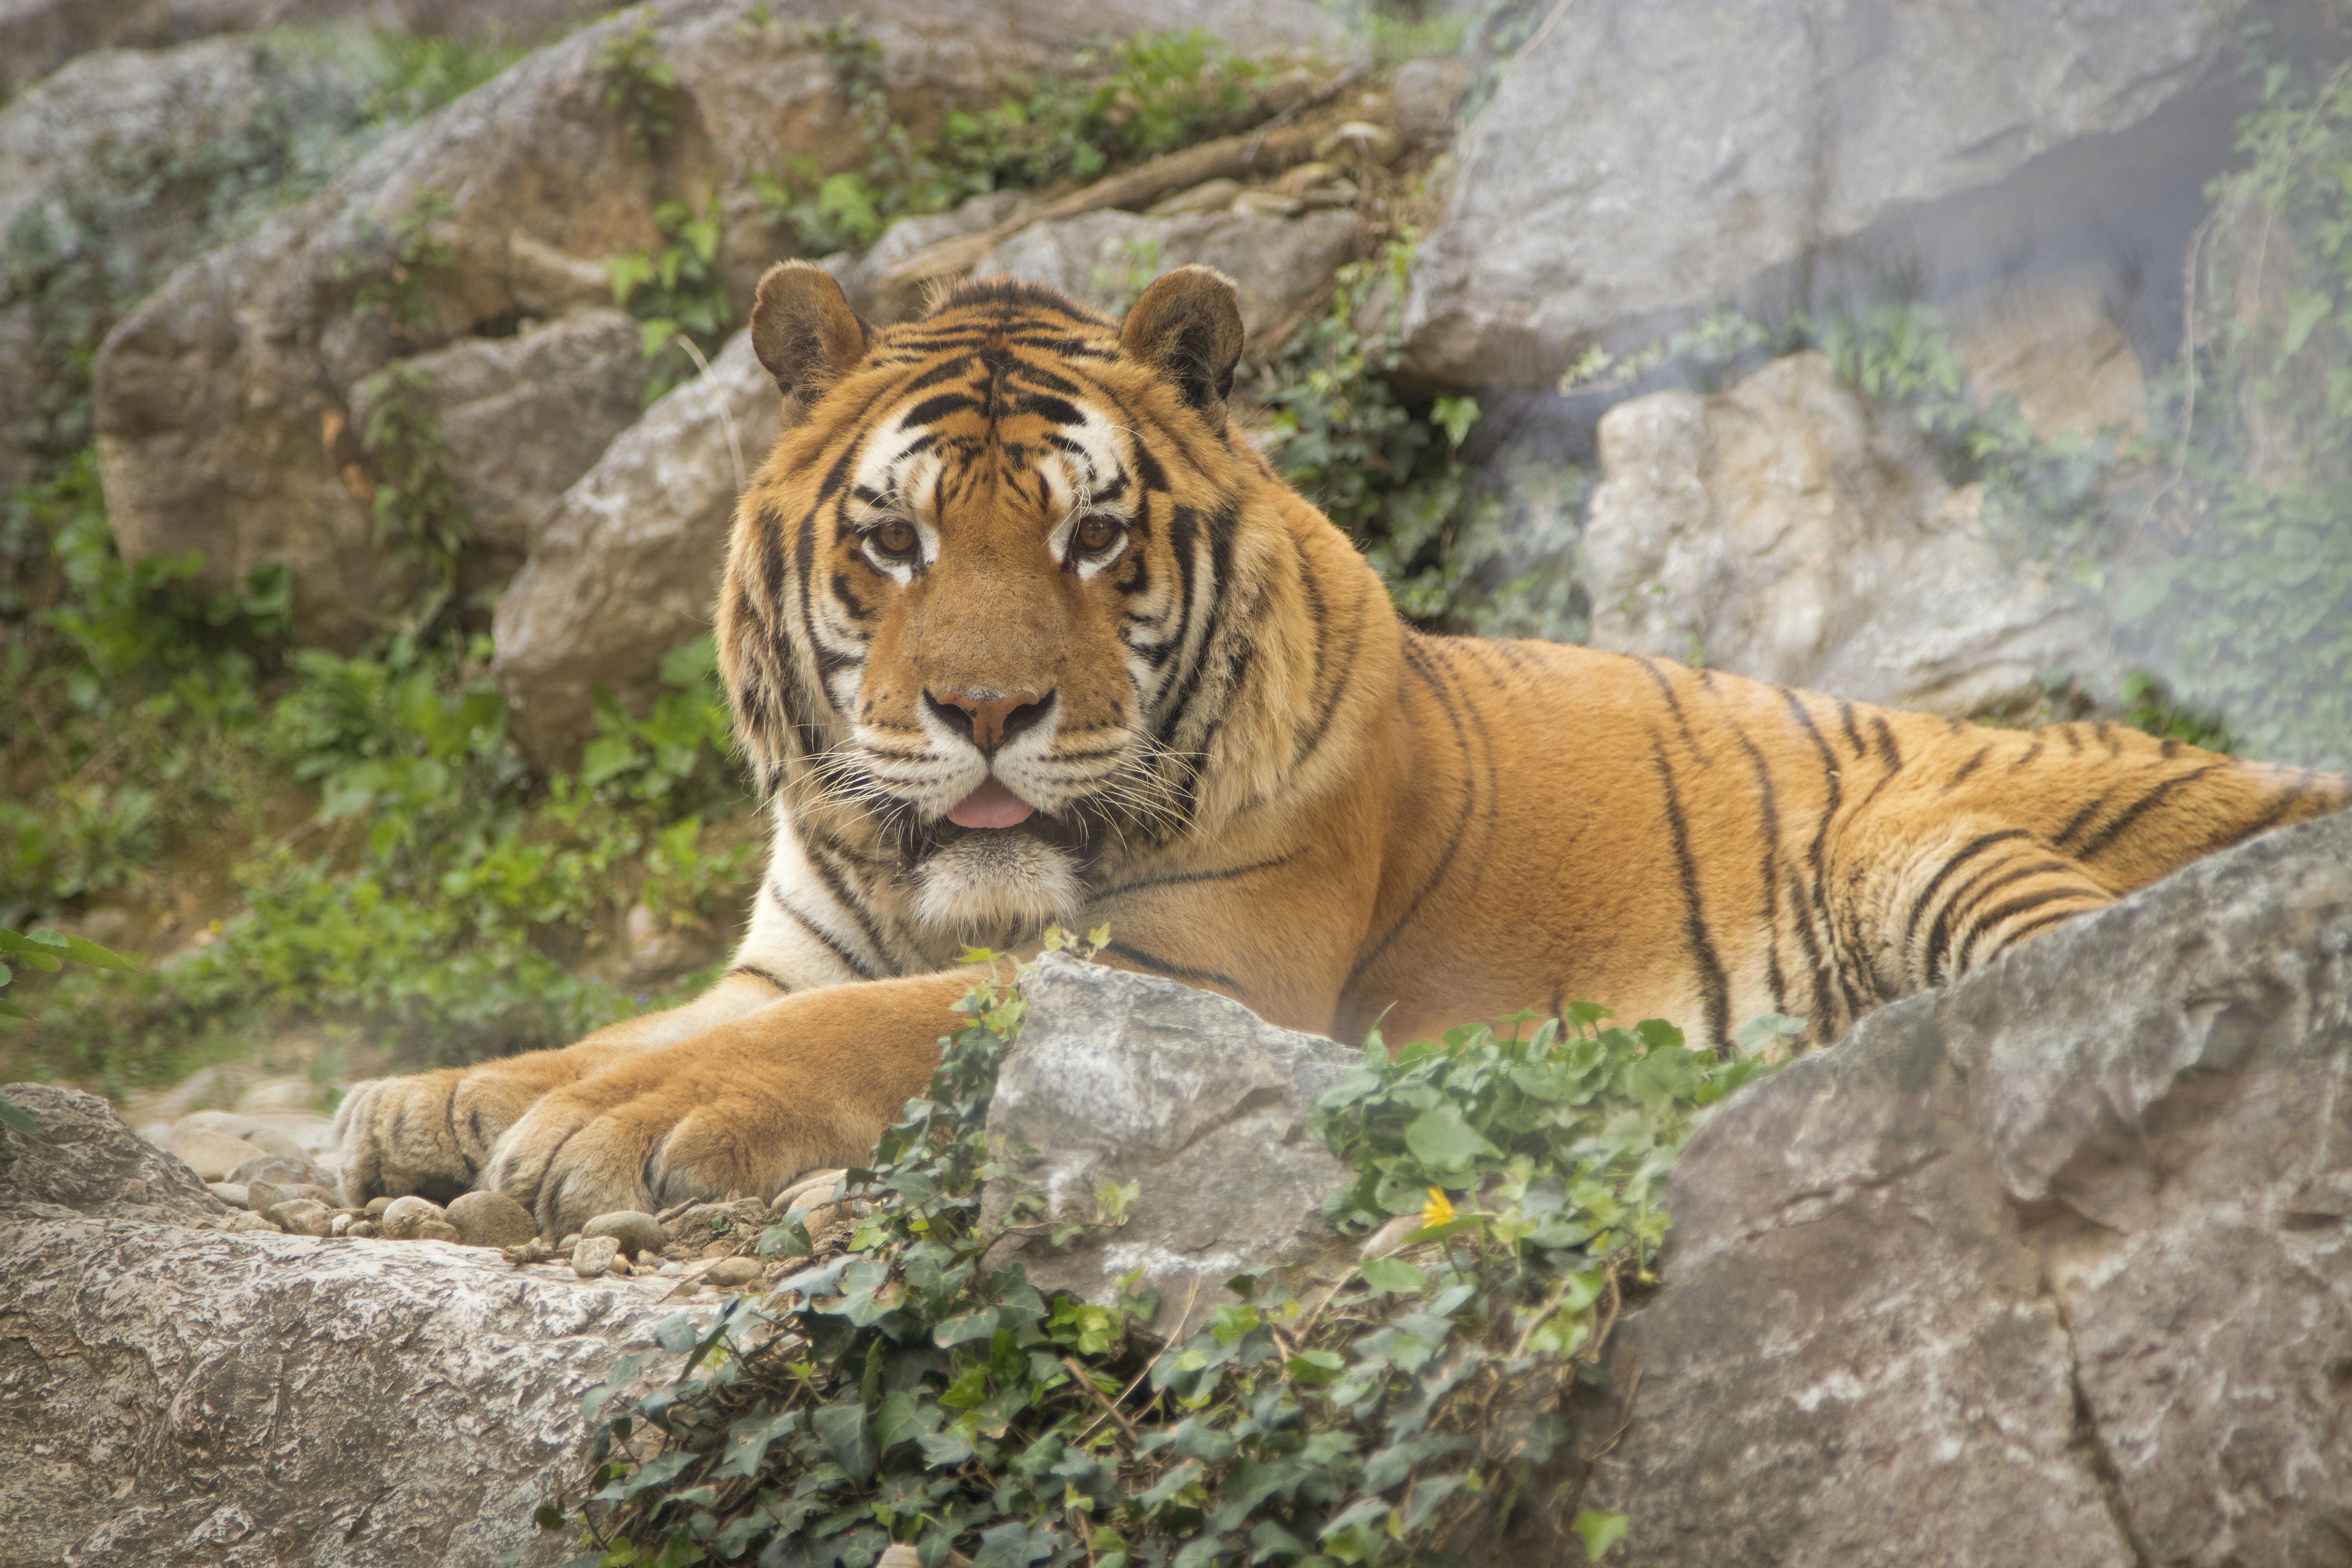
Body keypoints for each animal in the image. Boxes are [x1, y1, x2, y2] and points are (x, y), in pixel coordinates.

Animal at [333, 261, 2349, 1237]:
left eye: (1090, 536)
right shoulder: (786, 949)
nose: (986, 714)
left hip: (1925, 837)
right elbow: (634, 1023)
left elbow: (870, 1030)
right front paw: (440, 1099)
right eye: (892, 540)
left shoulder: (1190, 971)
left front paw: (618, 1131)